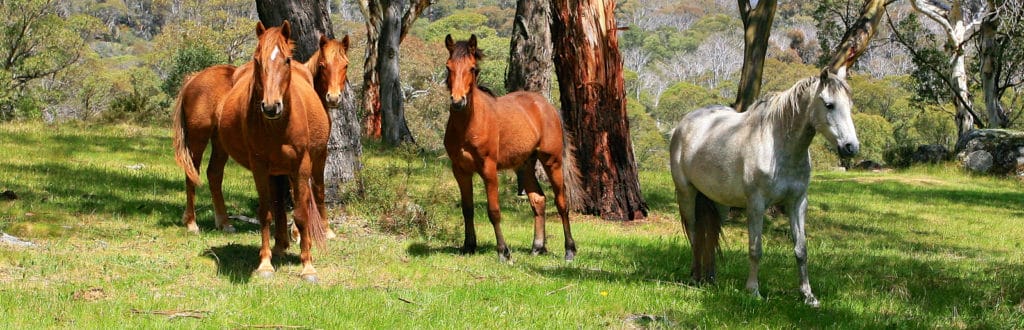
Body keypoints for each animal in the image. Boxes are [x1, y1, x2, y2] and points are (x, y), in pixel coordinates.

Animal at [172, 33, 352, 240]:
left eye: (345, 65)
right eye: (323, 65)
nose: (333, 98)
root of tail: (193, 79)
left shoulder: (312, 153)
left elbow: (314, 189)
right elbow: (307, 189)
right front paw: (303, 231)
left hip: (220, 143)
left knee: (214, 174)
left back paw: (224, 223)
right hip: (197, 139)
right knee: (192, 173)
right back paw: (191, 223)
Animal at [215, 21, 327, 280]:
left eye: (286, 60)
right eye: (257, 60)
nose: (270, 106)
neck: (279, 126)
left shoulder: (301, 166)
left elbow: (301, 214)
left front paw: (308, 266)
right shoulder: (260, 167)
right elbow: (266, 213)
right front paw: (265, 263)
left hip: (314, 165)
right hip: (276, 171)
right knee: (277, 206)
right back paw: (279, 246)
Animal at [442, 34, 581, 261]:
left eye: (472, 68)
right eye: (448, 67)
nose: (458, 101)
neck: (469, 125)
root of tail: (547, 106)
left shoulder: (488, 169)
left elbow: (494, 211)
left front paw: (503, 252)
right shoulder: (460, 171)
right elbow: (467, 209)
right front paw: (469, 245)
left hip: (552, 162)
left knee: (561, 203)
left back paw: (569, 250)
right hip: (524, 165)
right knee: (538, 200)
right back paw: (537, 247)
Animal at [667, 67, 860, 307]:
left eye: (849, 105)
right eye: (829, 104)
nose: (851, 147)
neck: (777, 145)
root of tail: (682, 125)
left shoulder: (797, 203)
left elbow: (801, 249)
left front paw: (808, 296)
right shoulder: (756, 205)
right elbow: (755, 249)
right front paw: (753, 291)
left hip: (718, 202)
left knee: (710, 237)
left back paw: (710, 279)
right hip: (687, 194)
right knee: (694, 235)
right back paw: (695, 277)